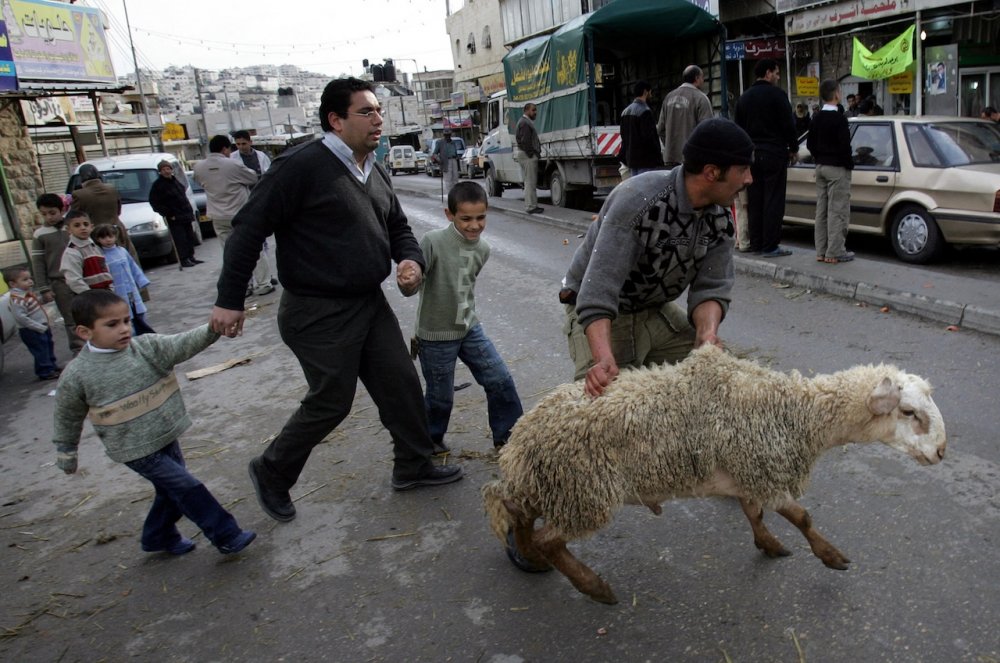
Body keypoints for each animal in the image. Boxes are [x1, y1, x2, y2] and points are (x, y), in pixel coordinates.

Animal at [482, 348, 944, 608]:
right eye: (908, 412)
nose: (941, 452)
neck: (795, 413)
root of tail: (519, 443)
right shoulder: (764, 468)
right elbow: (801, 516)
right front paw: (830, 556)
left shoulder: (746, 472)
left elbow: (754, 514)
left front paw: (769, 544)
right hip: (584, 492)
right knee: (549, 538)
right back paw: (594, 588)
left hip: (553, 488)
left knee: (520, 517)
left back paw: (530, 556)